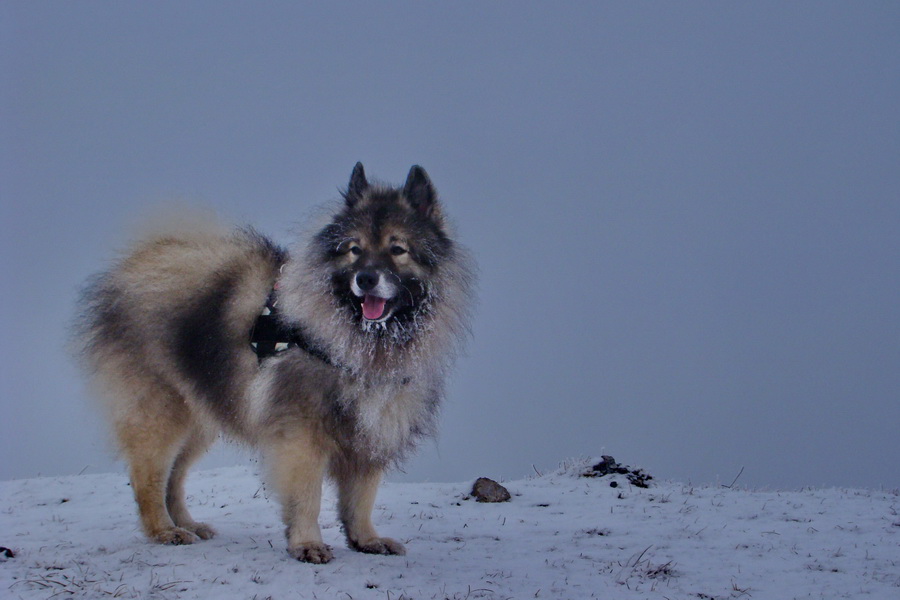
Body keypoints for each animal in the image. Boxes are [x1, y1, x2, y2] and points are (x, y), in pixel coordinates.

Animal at [75, 163, 478, 564]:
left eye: (398, 249)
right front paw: (307, 544)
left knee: (174, 477)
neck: (362, 342)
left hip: (200, 417)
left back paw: (188, 524)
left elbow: (361, 499)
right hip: (161, 413)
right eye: (354, 250)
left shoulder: (369, 431)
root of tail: (137, 263)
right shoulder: (301, 434)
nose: (366, 278)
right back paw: (164, 530)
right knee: (149, 478)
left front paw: (366, 539)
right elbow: (307, 497)